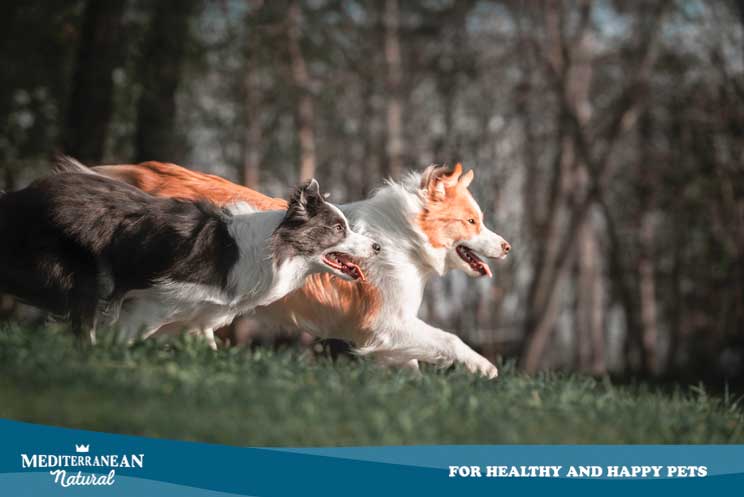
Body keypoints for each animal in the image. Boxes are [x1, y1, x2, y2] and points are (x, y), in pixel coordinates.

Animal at [0, 167, 378, 344]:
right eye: (339, 228)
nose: (376, 246)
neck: (275, 249)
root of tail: (21, 194)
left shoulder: (199, 317)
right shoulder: (152, 304)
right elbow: (122, 338)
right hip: (73, 276)